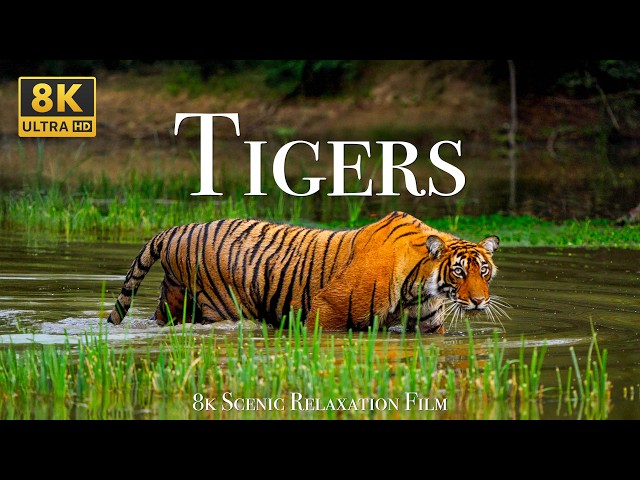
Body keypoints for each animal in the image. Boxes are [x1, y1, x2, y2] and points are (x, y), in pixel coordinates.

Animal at [106, 211, 505, 333]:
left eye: (483, 271)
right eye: (458, 272)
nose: (479, 301)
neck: (420, 286)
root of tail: (175, 229)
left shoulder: (428, 327)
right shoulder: (327, 310)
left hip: (173, 299)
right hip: (217, 306)